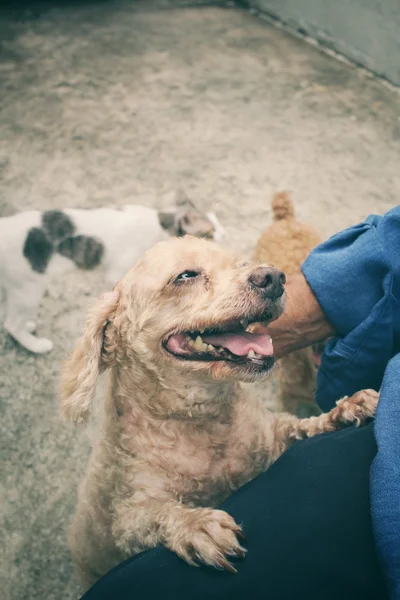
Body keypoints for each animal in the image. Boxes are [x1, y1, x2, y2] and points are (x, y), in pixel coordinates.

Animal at [61, 237, 380, 588]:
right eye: (186, 276)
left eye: (241, 264)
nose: (274, 278)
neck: (203, 421)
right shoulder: (127, 515)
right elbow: (152, 517)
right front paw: (196, 525)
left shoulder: (271, 440)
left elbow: (300, 428)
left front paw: (342, 412)